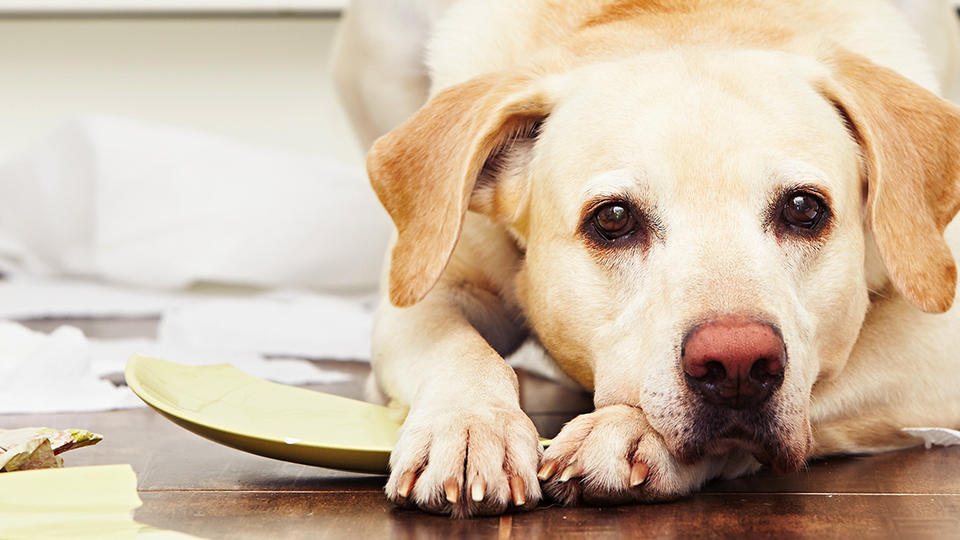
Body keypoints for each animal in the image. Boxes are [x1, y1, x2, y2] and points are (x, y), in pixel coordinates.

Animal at [336, 0, 960, 516]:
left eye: (804, 209)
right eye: (613, 219)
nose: (737, 364)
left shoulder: (936, 341)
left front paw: (626, 430)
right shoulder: (429, 287)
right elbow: (460, 349)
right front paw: (467, 427)